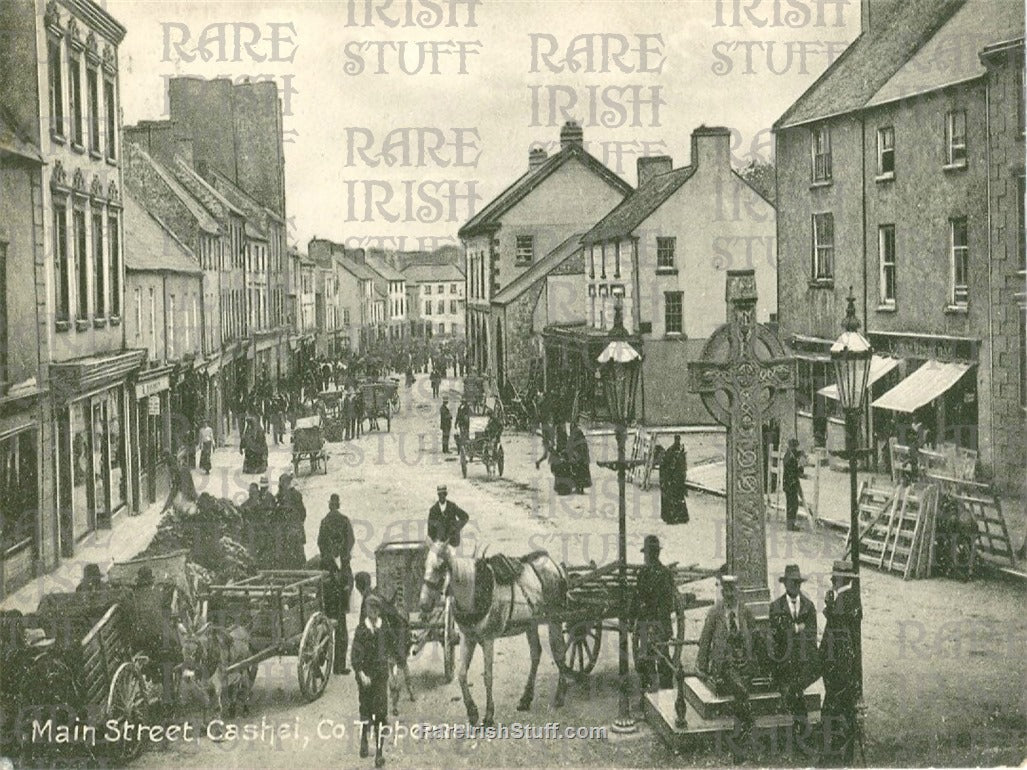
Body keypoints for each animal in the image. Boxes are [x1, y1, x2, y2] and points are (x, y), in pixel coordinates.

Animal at [421, 537, 575, 726]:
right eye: (424, 565)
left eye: (441, 567)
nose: (423, 604)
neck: (475, 591)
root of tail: (552, 563)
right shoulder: (468, 637)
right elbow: (462, 674)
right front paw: (472, 712)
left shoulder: (488, 639)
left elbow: (488, 676)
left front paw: (488, 715)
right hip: (530, 623)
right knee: (536, 653)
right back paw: (526, 698)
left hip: (555, 618)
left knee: (558, 651)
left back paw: (560, 695)